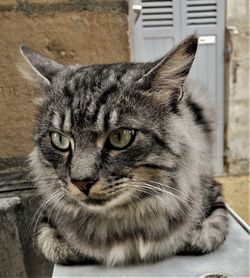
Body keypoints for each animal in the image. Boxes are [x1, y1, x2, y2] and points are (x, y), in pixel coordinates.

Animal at [19, 33, 229, 266]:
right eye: (60, 140)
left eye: (120, 137)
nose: (81, 182)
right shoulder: (47, 222)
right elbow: (55, 246)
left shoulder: (213, 196)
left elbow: (206, 234)